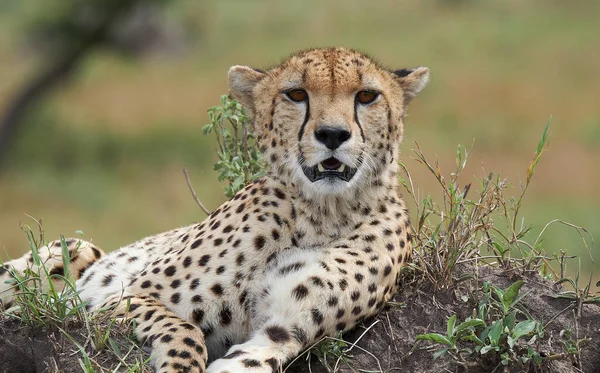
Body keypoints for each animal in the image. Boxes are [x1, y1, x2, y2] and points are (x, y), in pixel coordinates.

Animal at [2, 48, 428, 372]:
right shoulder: (123, 297)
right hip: (71, 251)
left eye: (367, 96)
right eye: (296, 94)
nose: (332, 135)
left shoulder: (282, 331)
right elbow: (184, 330)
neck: (323, 212)